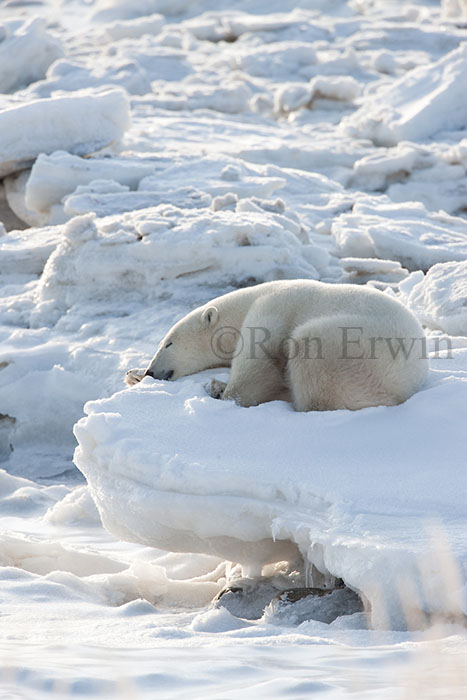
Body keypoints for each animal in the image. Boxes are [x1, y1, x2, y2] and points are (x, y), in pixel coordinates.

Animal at [126, 280, 429, 411]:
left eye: (168, 343)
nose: (152, 371)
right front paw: (133, 374)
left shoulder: (272, 308)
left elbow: (257, 360)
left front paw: (227, 395)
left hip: (356, 348)